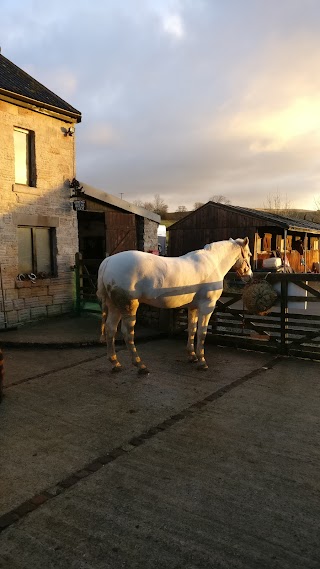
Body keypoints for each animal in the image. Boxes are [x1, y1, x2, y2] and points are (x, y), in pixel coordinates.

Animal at [96, 235, 251, 372]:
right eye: (249, 254)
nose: (249, 276)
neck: (213, 263)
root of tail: (108, 261)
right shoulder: (207, 307)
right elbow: (202, 333)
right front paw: (202, 361)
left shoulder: (193, 307)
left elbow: (192, 330)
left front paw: (192, 356)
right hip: (128, 306)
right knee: (127, 333)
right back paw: (140, 365)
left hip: (114, 306)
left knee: (110, 329)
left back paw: (115, 363)